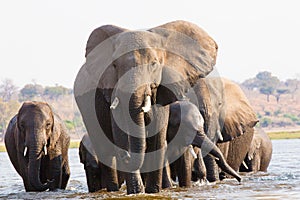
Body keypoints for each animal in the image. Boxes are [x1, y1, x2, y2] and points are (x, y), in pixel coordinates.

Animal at [72, 20, 218, 194]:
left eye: (154, 64)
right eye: (114, 66)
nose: (126, 155)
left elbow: (157, 140)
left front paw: (152, 192)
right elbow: (123, 133)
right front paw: (136, 192)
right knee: (104, 151)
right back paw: (113, 190)